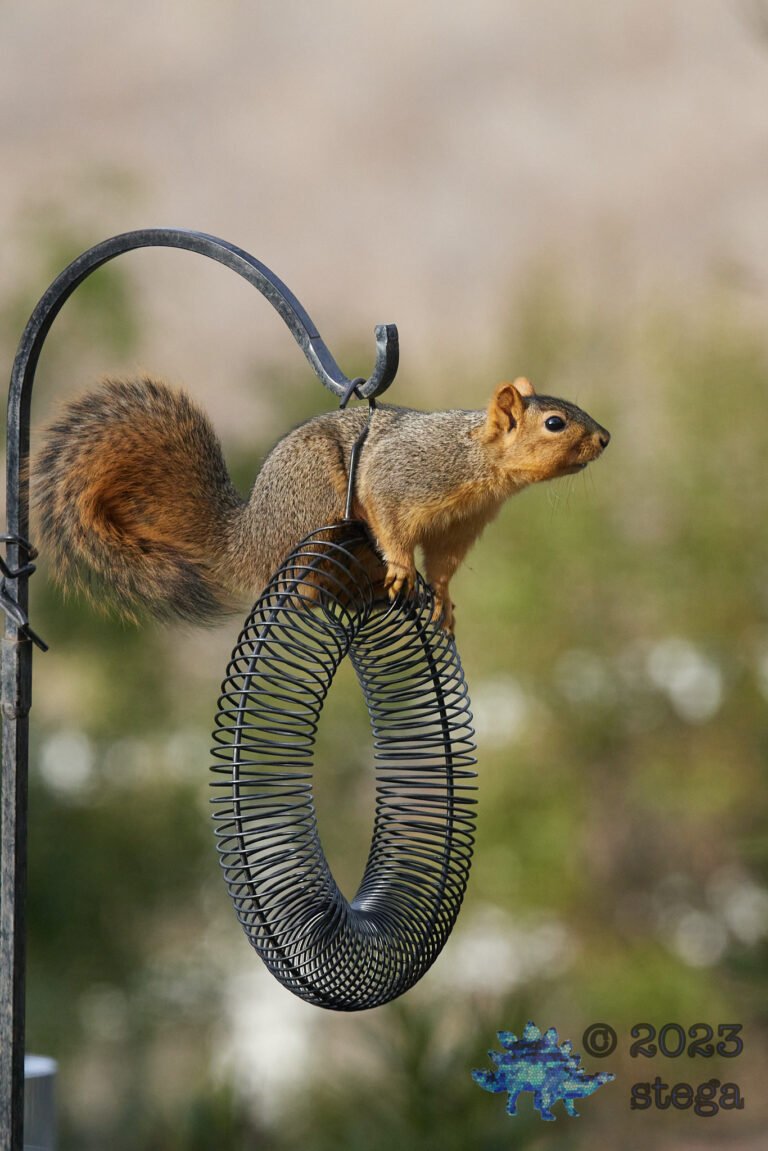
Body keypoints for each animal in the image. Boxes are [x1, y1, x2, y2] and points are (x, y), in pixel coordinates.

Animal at [33, 374, 610, 632]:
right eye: (554, 423)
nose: (605, 439)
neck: (478, 463)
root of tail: (246, 540)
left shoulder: (459, 526)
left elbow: (443, 566)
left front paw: (443, 601)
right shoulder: (404, 477)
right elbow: (391, 521)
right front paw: (402, 568)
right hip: (316, 501)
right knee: (299, 576)